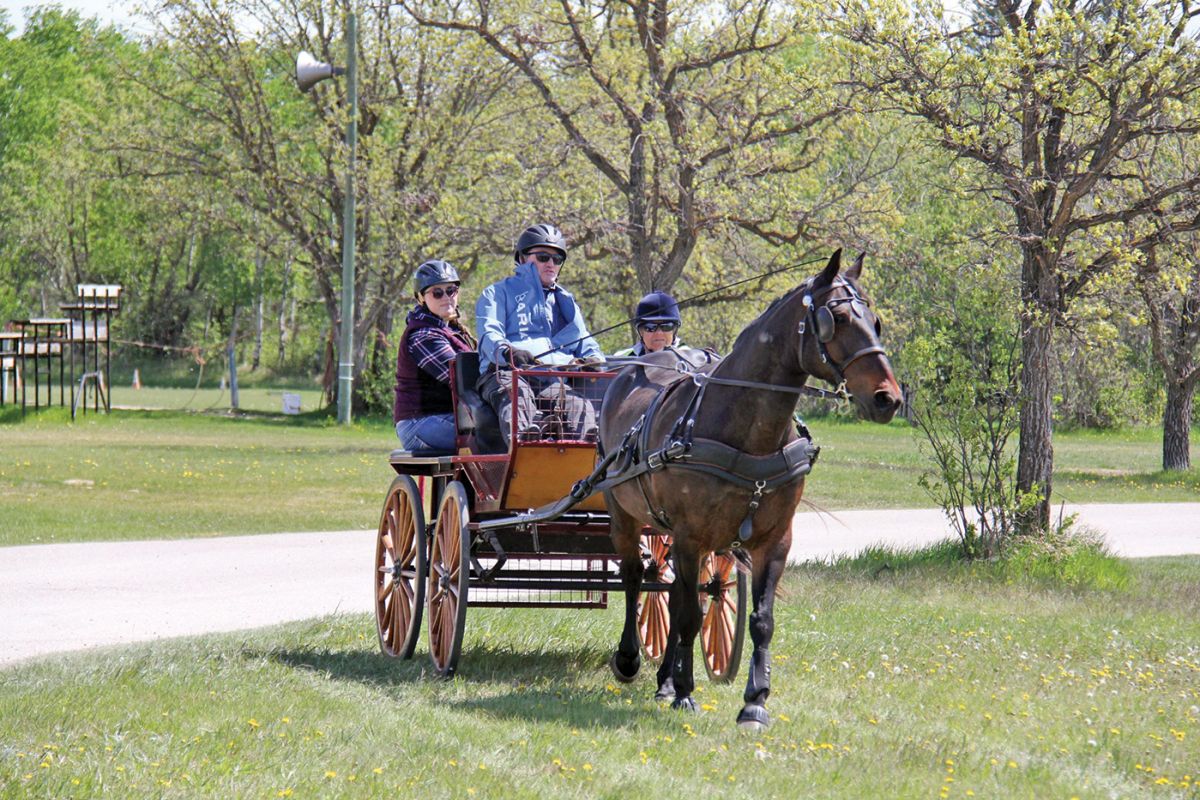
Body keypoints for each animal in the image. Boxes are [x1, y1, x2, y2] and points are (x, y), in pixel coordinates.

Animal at [598, 249, 902, 729]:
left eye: (875, 320)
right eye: (834, 318)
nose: (887, 398)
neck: (746, 429)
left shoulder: (774, 539)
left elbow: (759, 619)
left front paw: (754, 701)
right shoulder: (690, 536)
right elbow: (688, 615)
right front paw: (686, 693)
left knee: (667, 589)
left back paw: (664, 680)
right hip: (623, 514)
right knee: (633, 578)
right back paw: (631, 660)